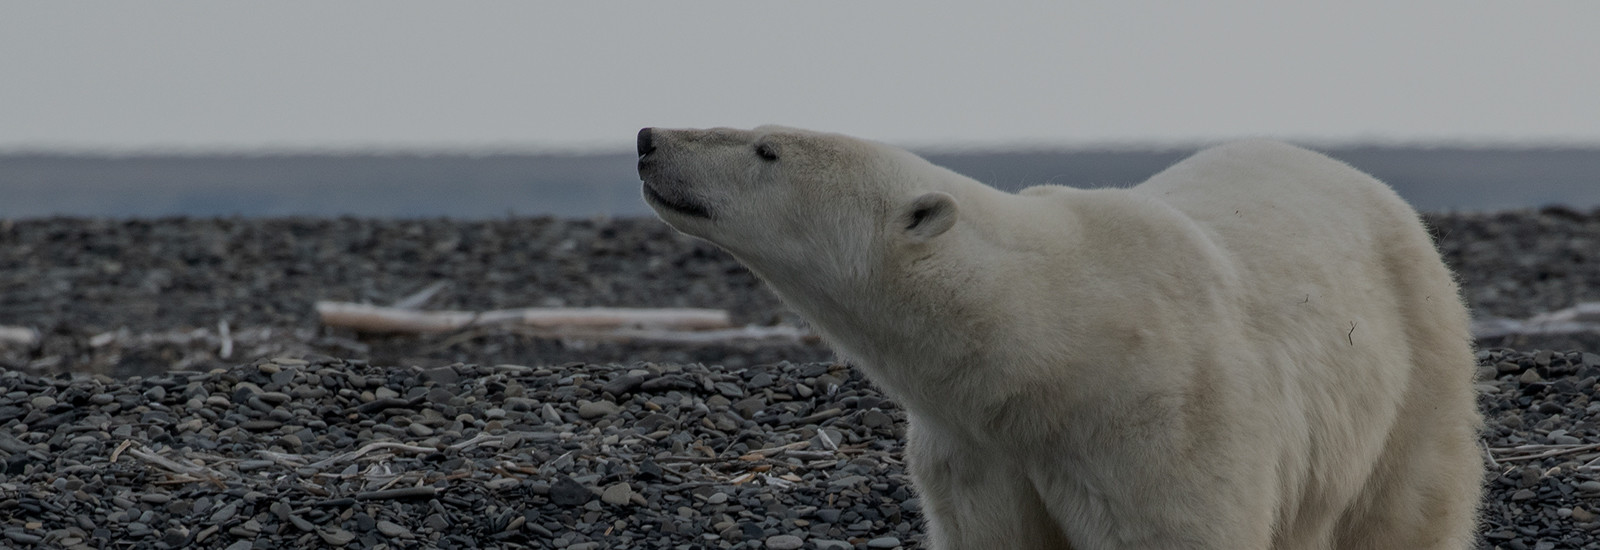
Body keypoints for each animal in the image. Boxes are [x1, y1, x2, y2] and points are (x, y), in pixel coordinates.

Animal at [630, 125, 1478, 550]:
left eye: (766, 149)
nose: (647, 137)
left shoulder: (1165, 426)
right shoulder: (974, 452)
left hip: (1417, 360)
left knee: (1405, 510)